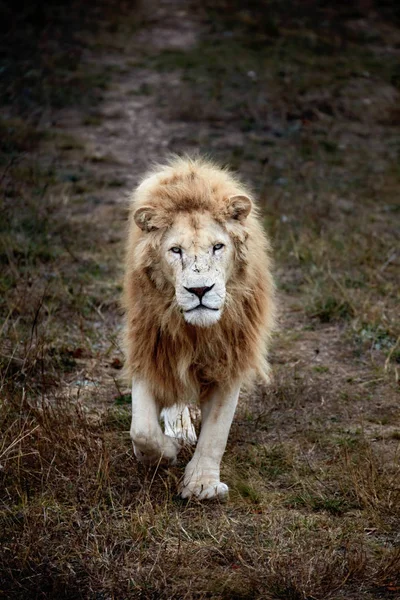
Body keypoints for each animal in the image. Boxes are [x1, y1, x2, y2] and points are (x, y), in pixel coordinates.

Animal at [122, 157, 276, 500]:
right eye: (175, 250)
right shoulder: (149, 348)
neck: (198, 331)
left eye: (218, 247)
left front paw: (201, 484)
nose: (200, 290)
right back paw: (178, 431)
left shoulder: (231, 357)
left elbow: (216, 431)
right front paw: (165, 451)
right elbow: (142, 430)